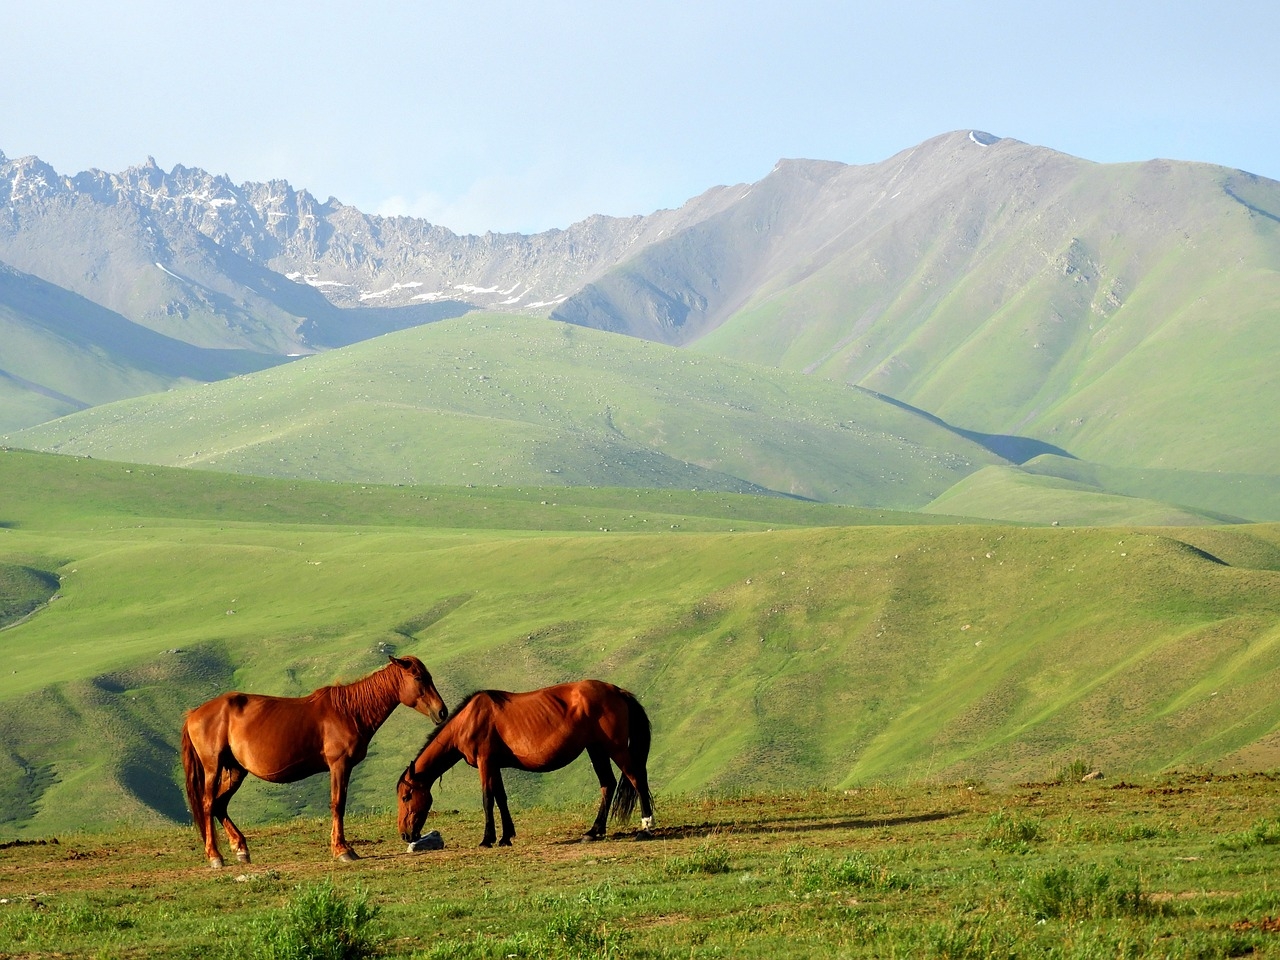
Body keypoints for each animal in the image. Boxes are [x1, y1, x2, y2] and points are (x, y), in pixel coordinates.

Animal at [181, 655, 445, 870]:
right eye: (419, 678)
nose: (442, 712)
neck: (350, 711)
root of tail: (195, 713)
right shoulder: (339, 765)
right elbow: (338, 804)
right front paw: (342, 850)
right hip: (213, 768)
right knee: (208, 804)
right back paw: (215, 856)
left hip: (236, 770)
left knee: (220, 804)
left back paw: (241, 849)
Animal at [396, 675, 660, 849]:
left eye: (406, 797)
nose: (405, 835)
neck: (469, 719)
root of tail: (618, 691)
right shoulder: (495, 765)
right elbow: (501, 798)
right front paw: (505, 837)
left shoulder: (485, 762)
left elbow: (487, 798)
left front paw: (487, 839)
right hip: (596, 749)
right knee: (608, 784)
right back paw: (593, 832)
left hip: (614, 747)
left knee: (636, 777)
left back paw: (646, 828)